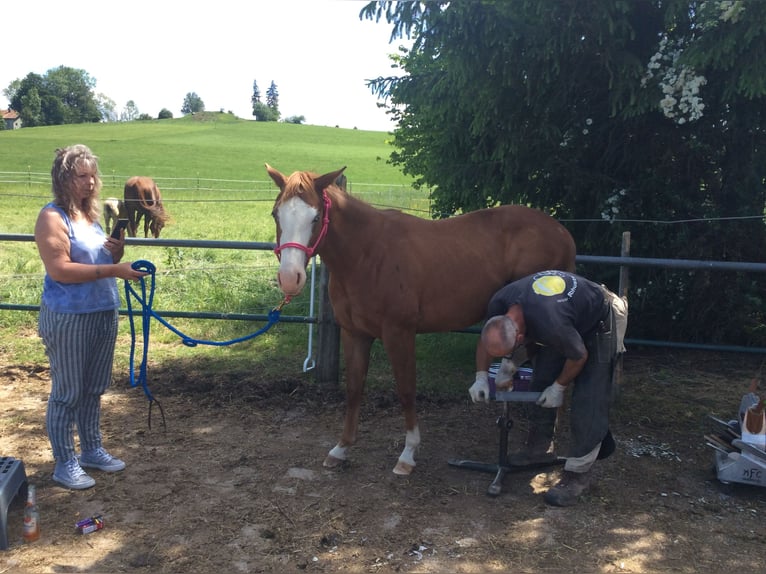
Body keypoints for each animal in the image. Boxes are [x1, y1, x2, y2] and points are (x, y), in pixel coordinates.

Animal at [270, 165, 576, 476]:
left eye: (315, 217)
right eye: (275, 214)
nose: (290, 278)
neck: (367, 254)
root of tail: (561, 232)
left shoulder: (399, 333)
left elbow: (406, 389)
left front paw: (407, 454)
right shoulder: (354, 333)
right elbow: (354, 389)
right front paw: (341, 448)